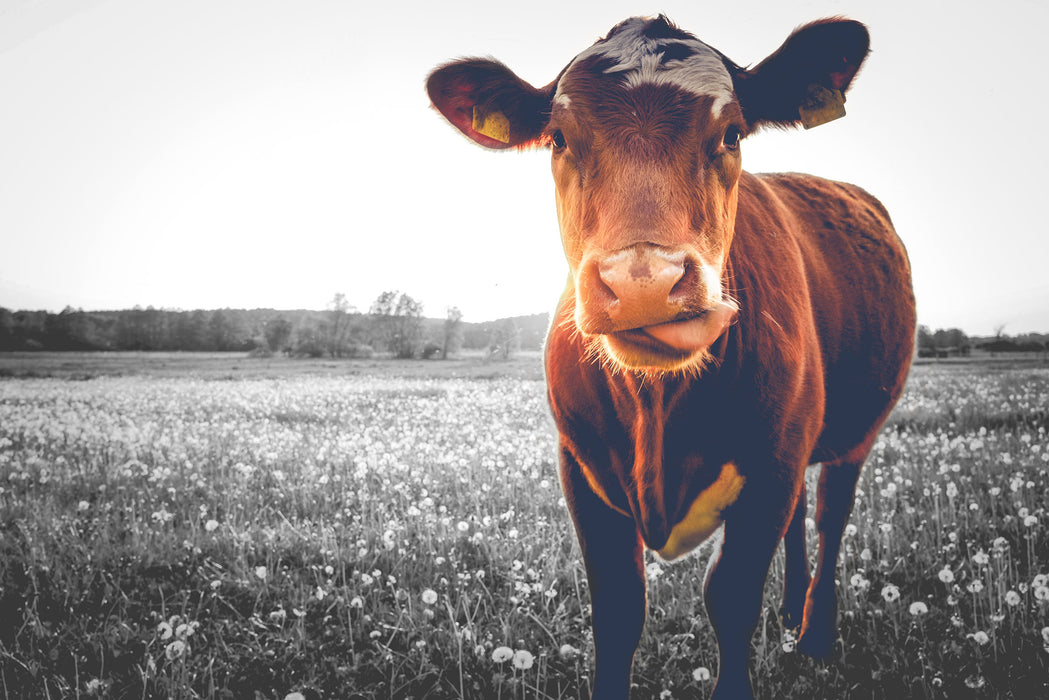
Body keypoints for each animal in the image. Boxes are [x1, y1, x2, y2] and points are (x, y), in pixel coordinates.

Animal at [423, 15, 910, 700]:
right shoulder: (582, 468)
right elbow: (619, 607)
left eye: (732, 132)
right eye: (559, 138)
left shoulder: (772, 466)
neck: (657, 406)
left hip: (853, 435)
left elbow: (731, 597)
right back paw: (792, 612)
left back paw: (814, 634)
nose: (643, 283)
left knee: (829, 519)